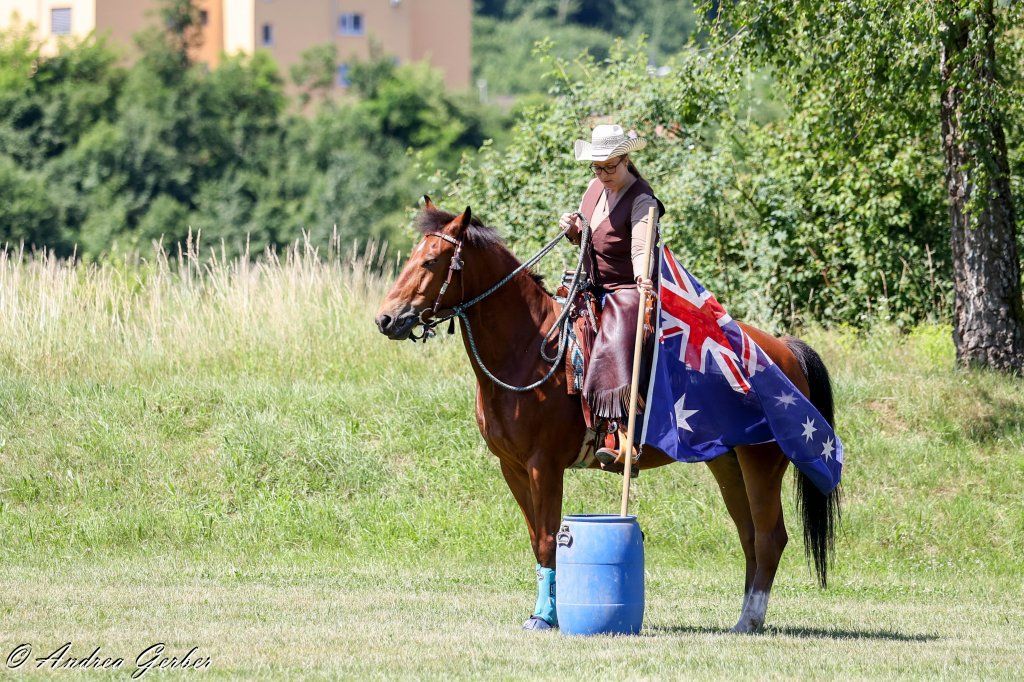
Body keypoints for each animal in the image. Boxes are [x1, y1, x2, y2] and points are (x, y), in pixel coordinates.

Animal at [374, 197, 841, 633]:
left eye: (431, 261)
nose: (386, 318)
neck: (529, 351)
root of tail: (783, 349)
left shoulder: (545, 466)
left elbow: (549, 539)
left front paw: (545, 616)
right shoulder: (513, 468)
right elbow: (535, 539)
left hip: (762, 463)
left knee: (769, 537)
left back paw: (750, 619)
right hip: (728, 464)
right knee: (749, 536)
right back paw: (744, 617)